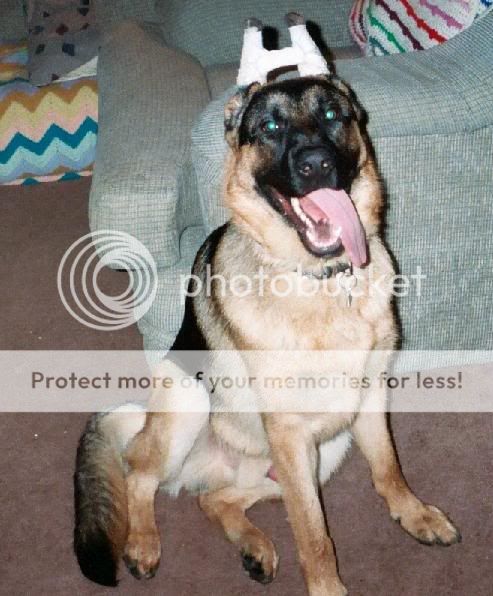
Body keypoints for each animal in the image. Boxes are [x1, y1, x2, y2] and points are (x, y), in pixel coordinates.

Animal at [74, 71, 460, 595]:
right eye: (271, 127)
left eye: (332, 115)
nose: (316, 164)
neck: (324, 280)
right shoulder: (290, 432)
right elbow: (313, 535)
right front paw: (327, 588)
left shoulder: (369, 398)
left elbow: (388, 468)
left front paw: (414, 514)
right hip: (194, 405)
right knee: (139, 474)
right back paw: (144, 543)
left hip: (323, 452)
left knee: (214, 499)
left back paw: (253, 547)